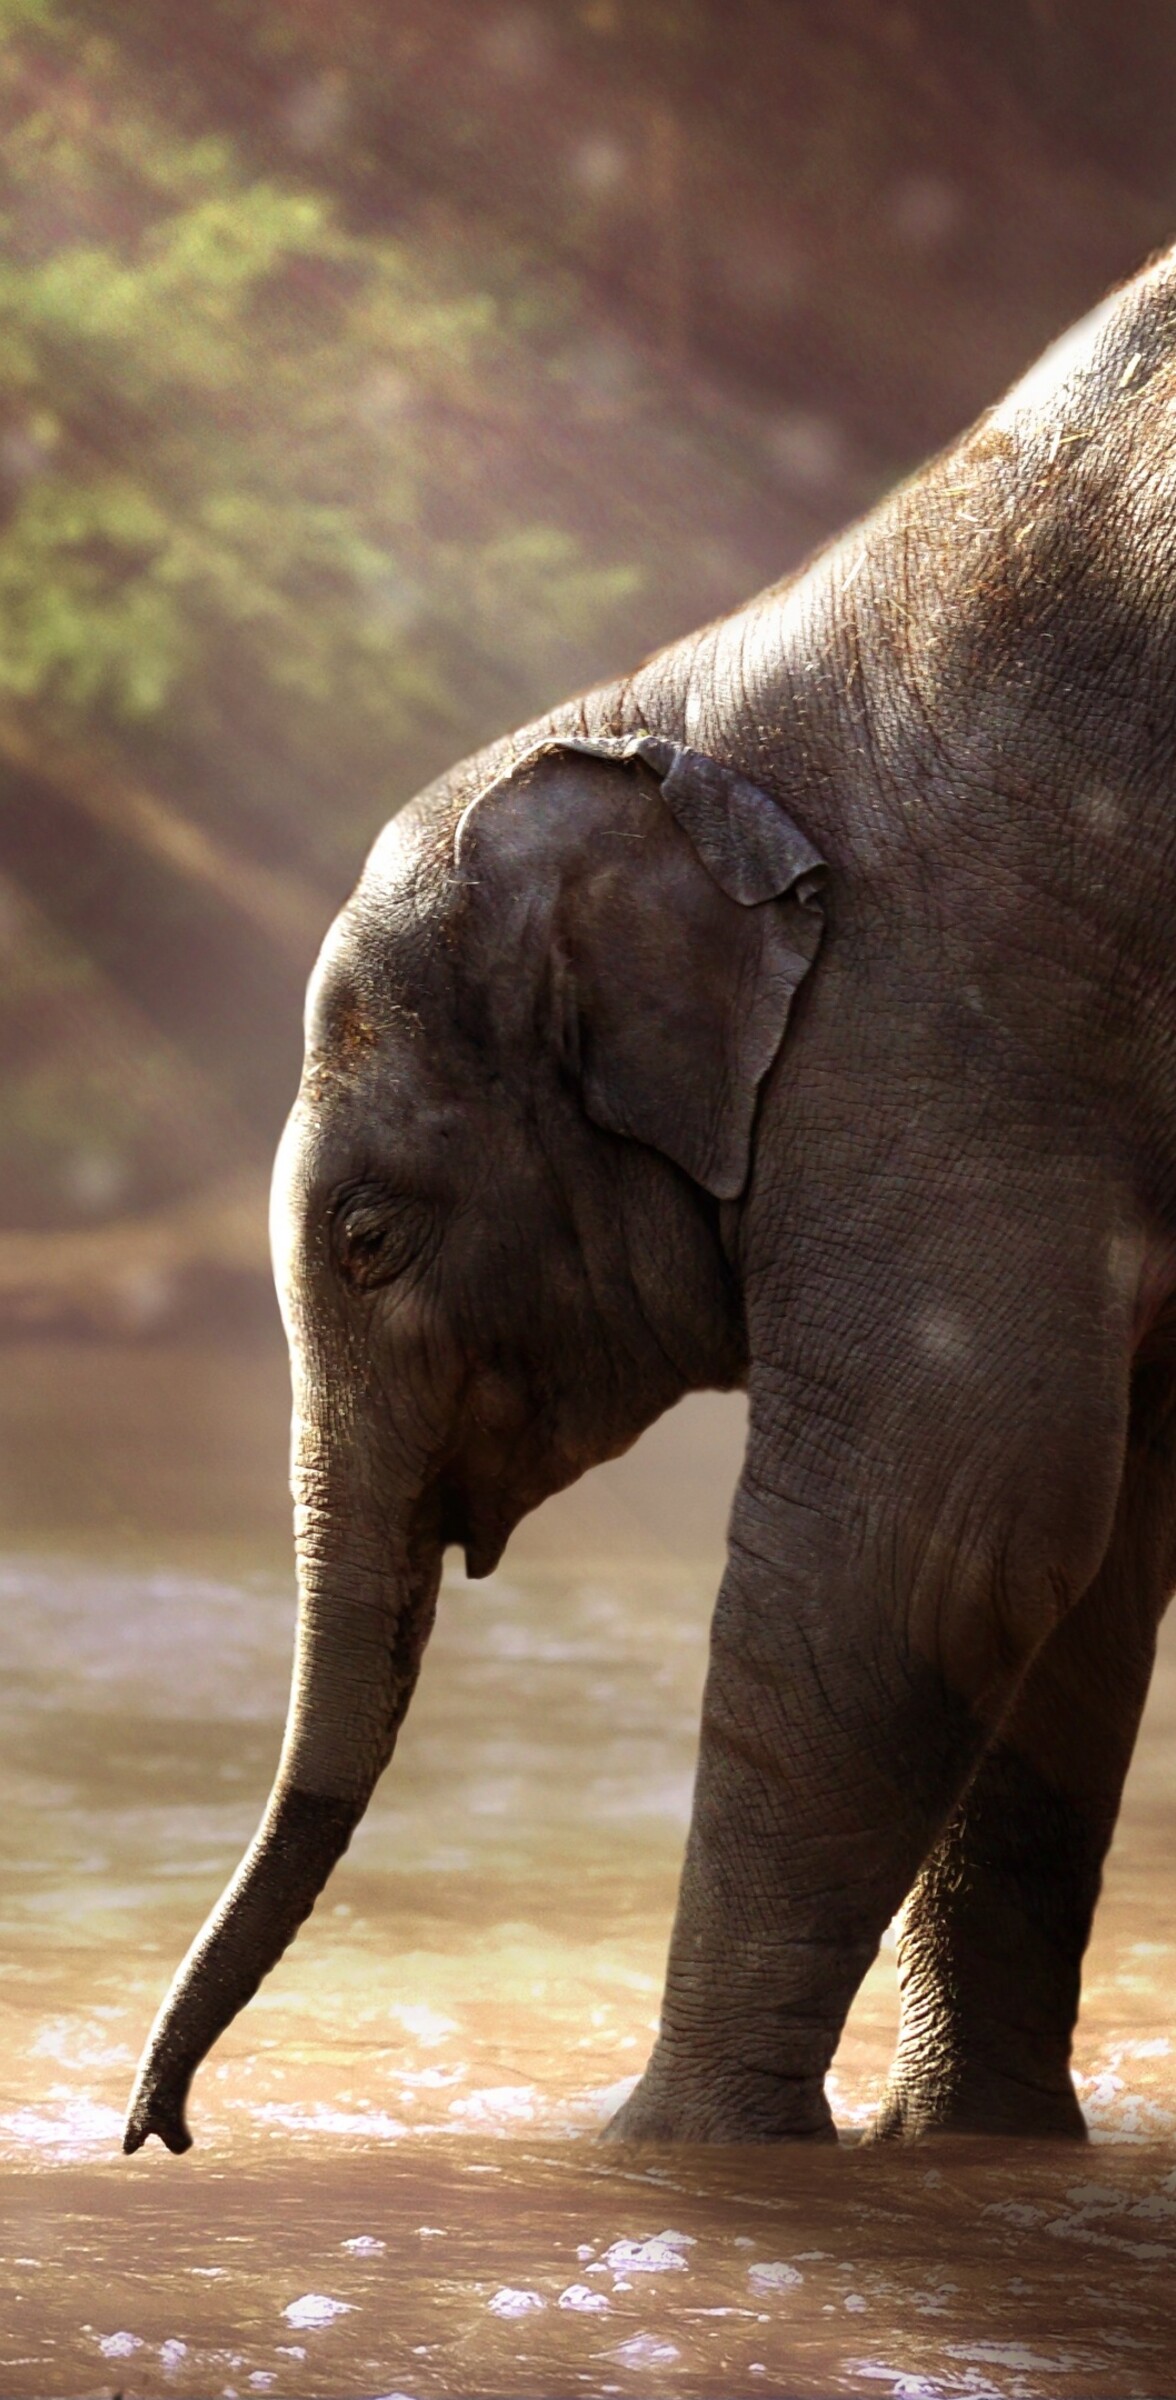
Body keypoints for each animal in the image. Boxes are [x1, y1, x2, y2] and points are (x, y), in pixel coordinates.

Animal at [125, 244, 1176, 2156]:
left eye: (368, 1241)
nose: (155, 2130)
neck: (678, 719)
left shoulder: (954, 1029)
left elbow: (938, 1529)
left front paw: (664, 2153)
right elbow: (1087, 1558)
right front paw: (963, 2150)